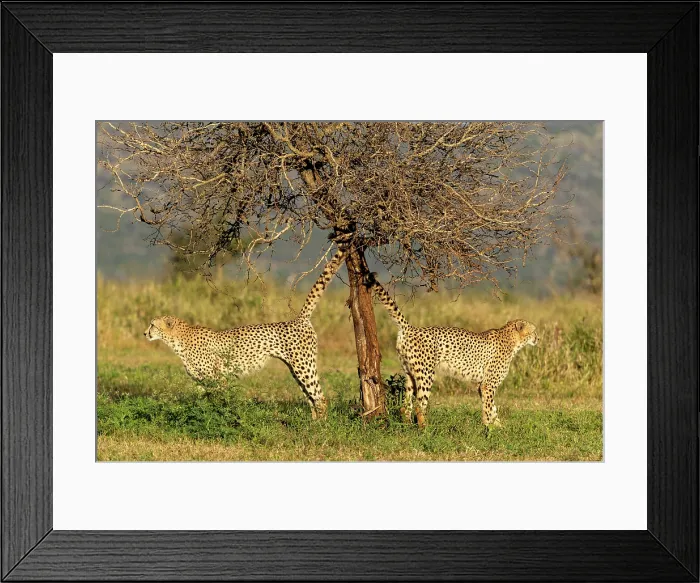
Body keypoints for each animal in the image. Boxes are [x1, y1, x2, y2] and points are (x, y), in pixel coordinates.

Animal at [144, 247, 347, 420]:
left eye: (152, 325)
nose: (145, 333)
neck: (178, 340)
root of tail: (299, 319)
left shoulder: (217, 379)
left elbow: (219, 401)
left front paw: (220, 418)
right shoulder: (201, 381)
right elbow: (203, 401)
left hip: (304, 366)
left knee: (320, 397)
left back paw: (321, 427)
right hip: (295, 368)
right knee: (311, 398)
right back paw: (313, 423)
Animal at [365, 273, 539, 429]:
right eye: (534, 331)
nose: (538, 338)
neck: (512, 340)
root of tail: (411, 328)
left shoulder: (482, 385)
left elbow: (492, 408)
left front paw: (499, 427)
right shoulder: (488, 384)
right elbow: (489, 408)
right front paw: (489, 429)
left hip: (410, 373)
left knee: (405, 405)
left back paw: (407, 427)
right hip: (426, 374)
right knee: (420, 406)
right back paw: (425, 430)